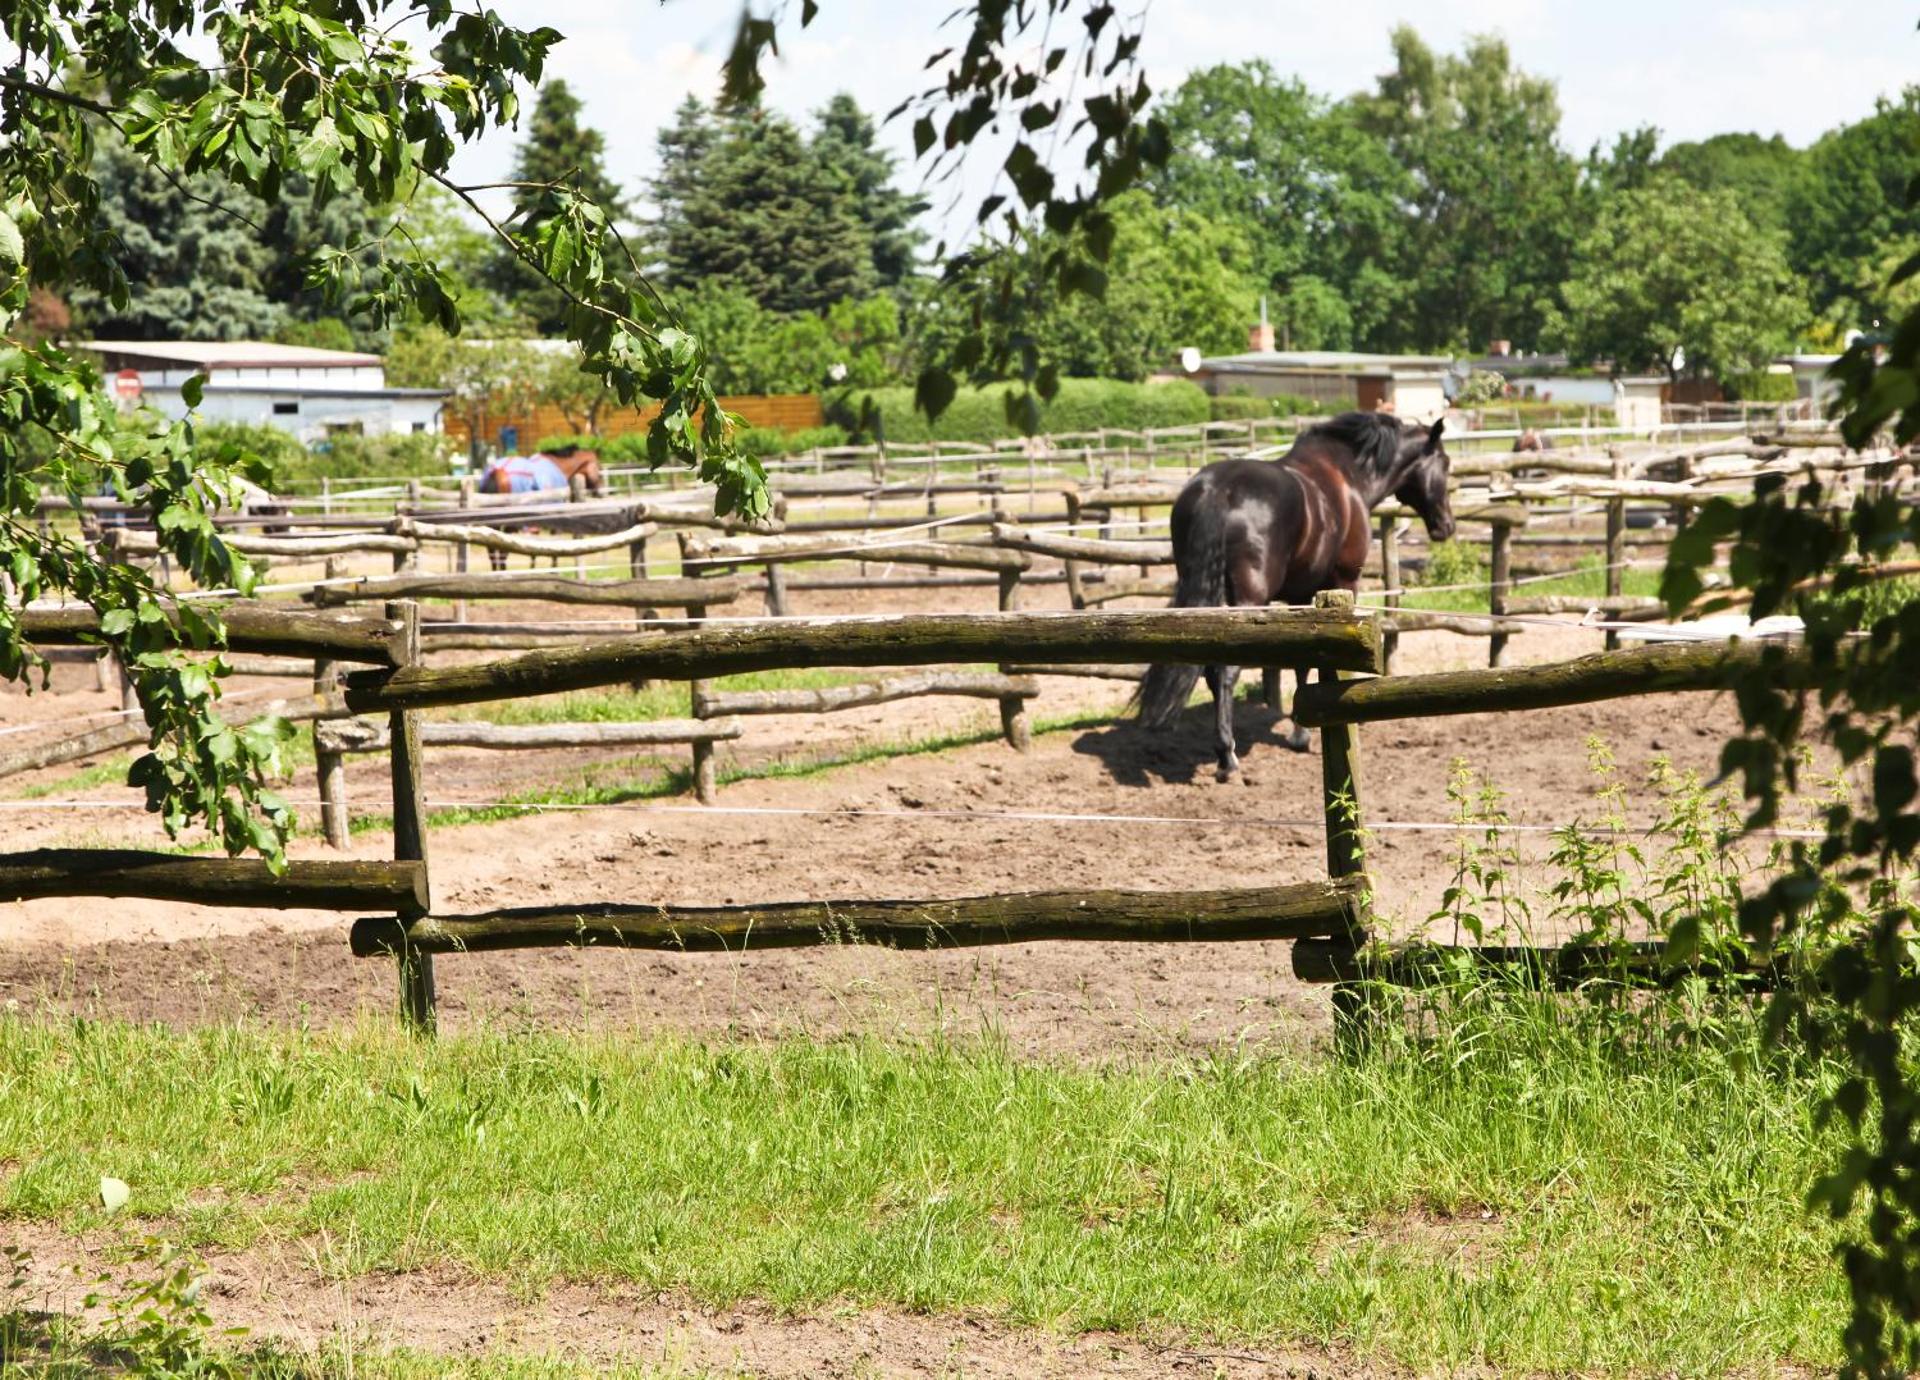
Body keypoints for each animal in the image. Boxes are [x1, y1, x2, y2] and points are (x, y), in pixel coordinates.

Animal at [1134, 411, 1456, 782]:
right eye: (1445, 463)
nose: (1447, 526)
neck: (1348, 476)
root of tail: (1217, 490)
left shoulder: (1298, 596)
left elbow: (1300, 661)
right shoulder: (1342, 581)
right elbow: (1306, 663)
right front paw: (1302, 735)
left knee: (1212, 672)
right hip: (1247, 600)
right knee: (1225, 672)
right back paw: (1227, 758)